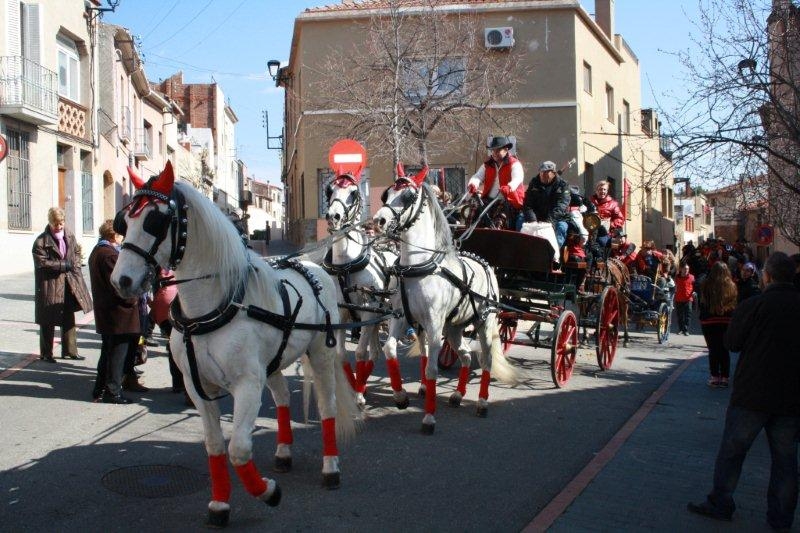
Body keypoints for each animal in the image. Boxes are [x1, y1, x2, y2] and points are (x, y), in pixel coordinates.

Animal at [108, 163, 358, 528]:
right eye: (123, 222)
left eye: (156, 221)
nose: (121, 281)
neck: (212, 308)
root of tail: (316, 267)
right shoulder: (197, 388)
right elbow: (214, 446)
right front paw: (219, 505)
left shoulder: (247, 385)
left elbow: (238, 449)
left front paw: (267, 492)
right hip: (273, 363)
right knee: (283, 399)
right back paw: (284, 451)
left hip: (321, 355)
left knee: (327, 406)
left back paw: (331, 468)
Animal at [322, 172, 410, 406]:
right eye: (329, 190)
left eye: (353, 192)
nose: (333, 216)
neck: (346, 266)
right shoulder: (343, 314)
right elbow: (342, 354)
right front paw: (354, 388)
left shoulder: (367, 309)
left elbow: (360, 353)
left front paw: (359, 395)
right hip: (376, 317)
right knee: (377, 352)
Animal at [374, 168, 520, 434]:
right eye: (386, 194)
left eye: (408, 196)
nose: (378, 221)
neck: (418, 267)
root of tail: (486, 265)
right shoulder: (401, 318)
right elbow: (389, 349)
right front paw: (400, 396)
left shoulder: (433, 325)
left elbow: (431, 368)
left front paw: (429, 417)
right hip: (454, 328)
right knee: (465, 355)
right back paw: (458, 395)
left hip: (485, 324)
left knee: (486, 360)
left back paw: (482, 403)